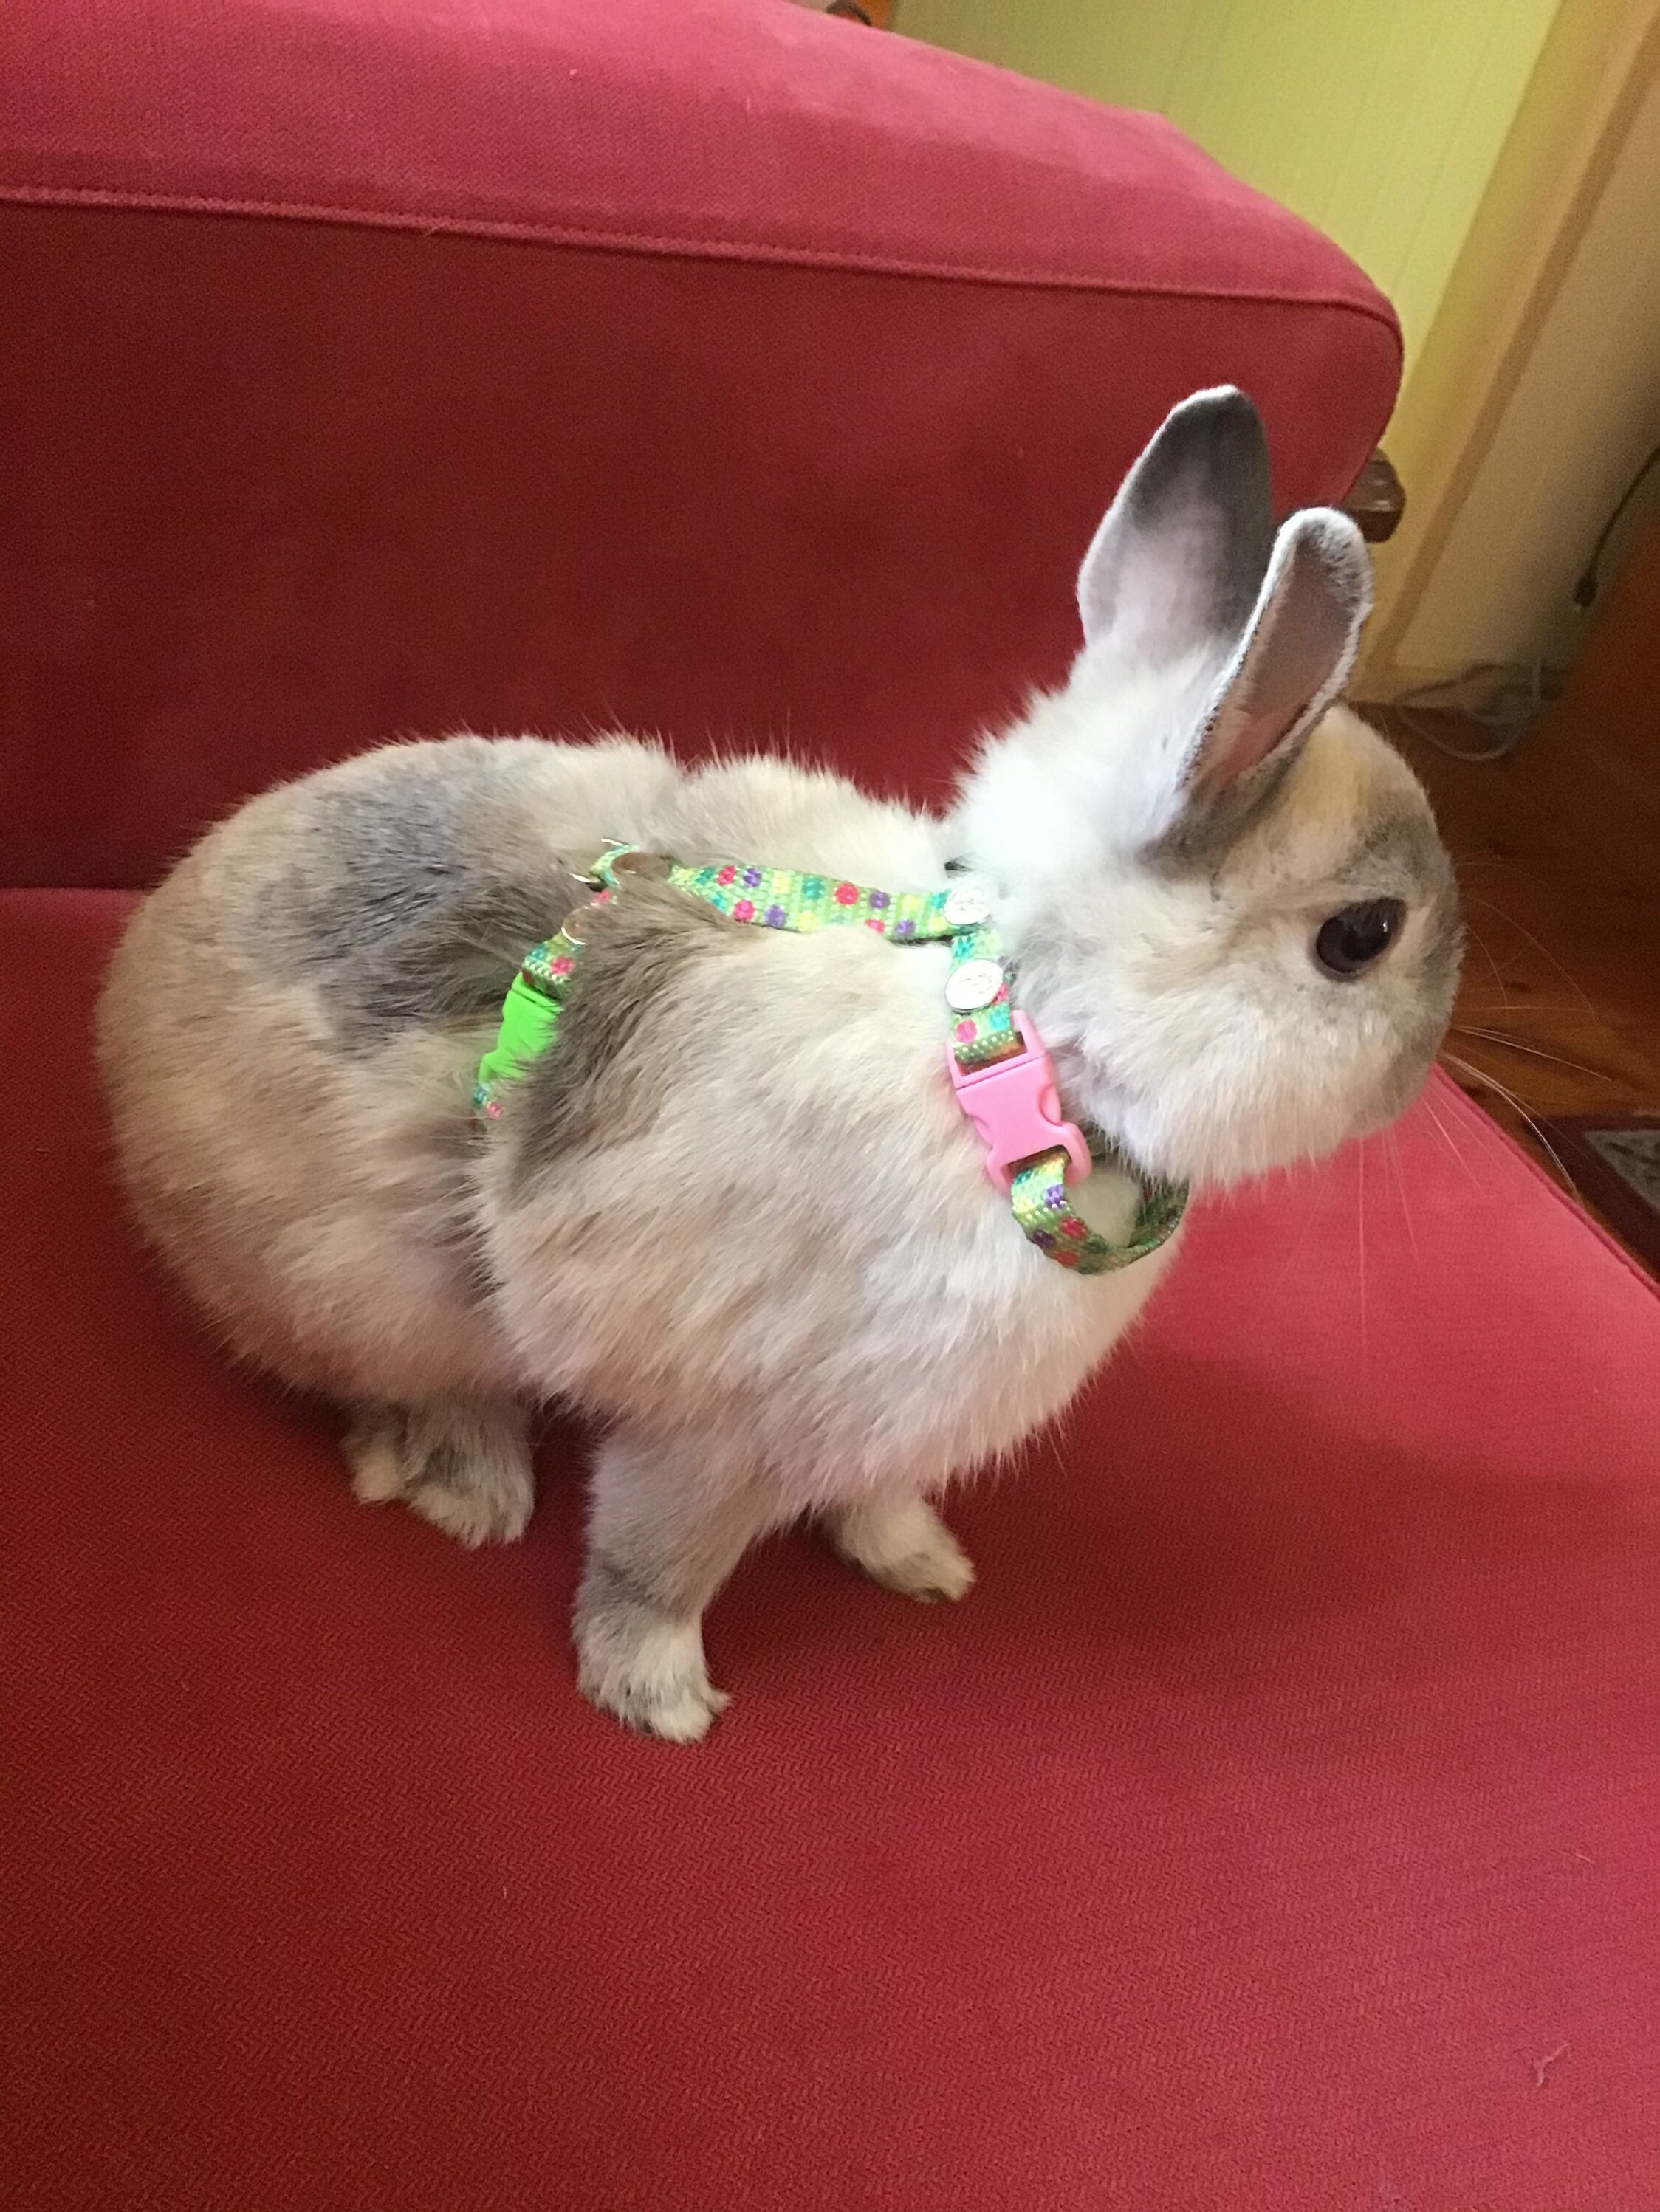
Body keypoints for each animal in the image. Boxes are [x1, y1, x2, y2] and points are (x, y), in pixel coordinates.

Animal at [98, 388, 1461, 1742]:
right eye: (1361, 938)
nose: (1425, 1067)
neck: (1006, 1042)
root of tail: (120, 1009)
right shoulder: (721, 1427)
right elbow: (659, 1563)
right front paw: (660, 1700)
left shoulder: (885, 1425)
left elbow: (872, 1499)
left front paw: (923, 1566)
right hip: (369, 1297)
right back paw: (469, 1484)